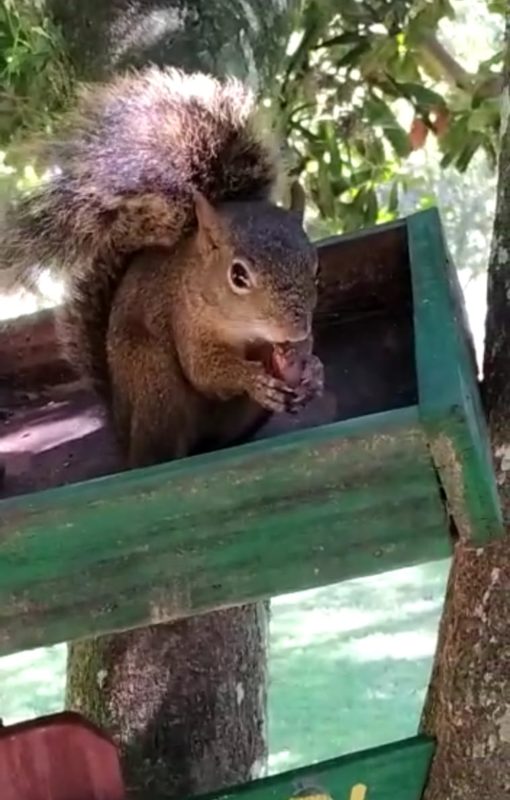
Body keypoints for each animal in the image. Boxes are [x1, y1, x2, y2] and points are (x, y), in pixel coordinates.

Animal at [0, 70, 322, 468]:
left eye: (315, 269)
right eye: (238, 276)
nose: (295, 332)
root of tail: (125, 437)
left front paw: (314, 369)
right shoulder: (186, 321)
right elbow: (205, 371)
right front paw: (250, 377)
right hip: (156, 385)